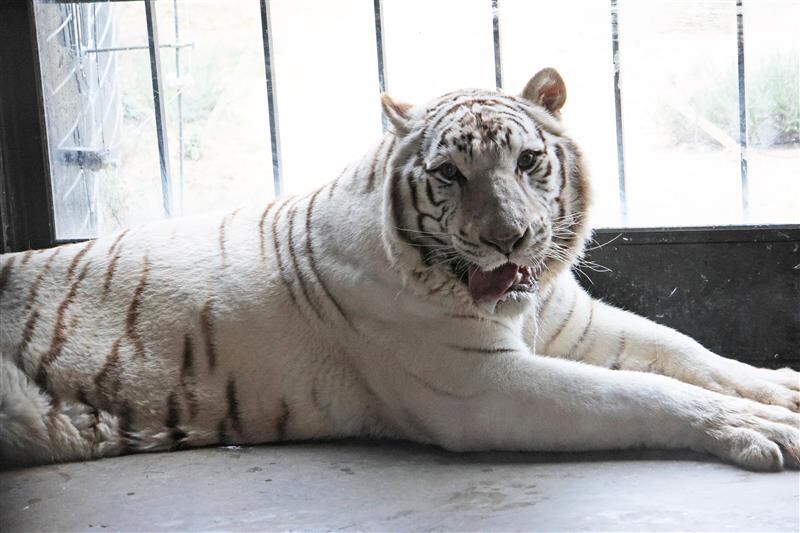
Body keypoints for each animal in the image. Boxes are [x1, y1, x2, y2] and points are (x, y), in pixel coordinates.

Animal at [1, 68, 798, 470]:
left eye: (527, 160)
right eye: (449, 174)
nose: (511, 240)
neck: (519, 305)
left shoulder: (572, 322)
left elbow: (683, 349)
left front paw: (782, 388)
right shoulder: (481, 386)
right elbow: (646, 391)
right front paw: (760, 427)